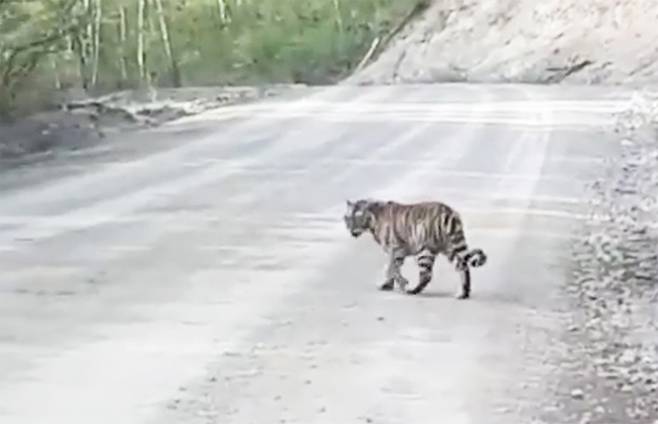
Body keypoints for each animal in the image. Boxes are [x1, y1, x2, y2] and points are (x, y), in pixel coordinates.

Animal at [342, 198, 487, 298]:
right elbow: (393, 269)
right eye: (347, 218)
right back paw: (463, 293)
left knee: (426, 275)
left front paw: (402, 283)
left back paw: (412, 290)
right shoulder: (398, 253)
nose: (351, 230)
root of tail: (448, 211)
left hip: (424, 250)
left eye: (357, 218)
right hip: (450, 248)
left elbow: (391, 269)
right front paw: (388, 285)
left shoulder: (395, 249)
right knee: (463, 266)